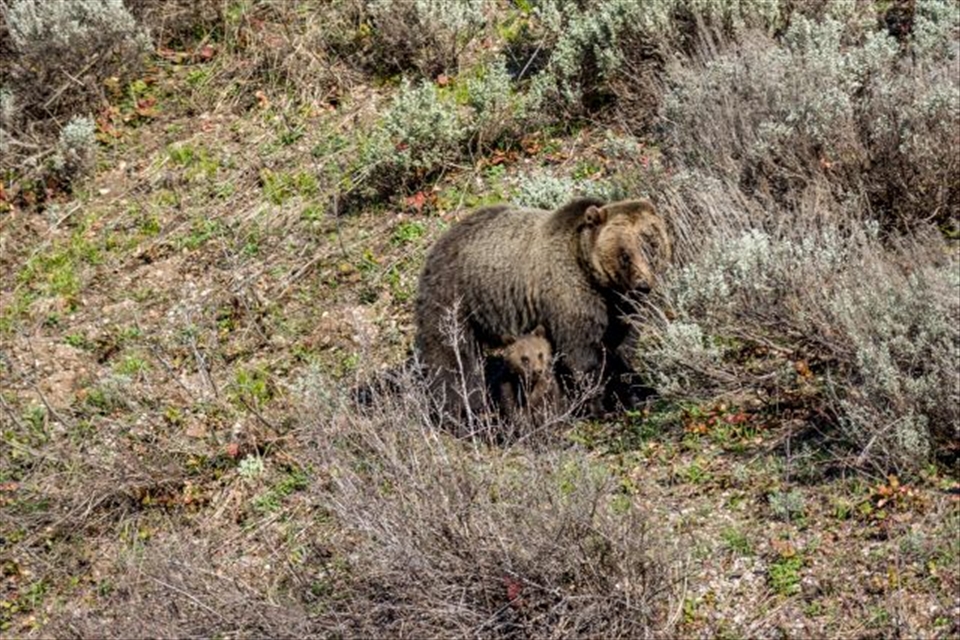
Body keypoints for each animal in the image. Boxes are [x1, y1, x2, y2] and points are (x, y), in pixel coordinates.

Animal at [414, 196, 671, 420]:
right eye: (625, 255)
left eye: (651, 245)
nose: (642, 286)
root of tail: (441, 239)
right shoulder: (570, 294)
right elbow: (582, 354)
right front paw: (601, 404)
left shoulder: (619, 306)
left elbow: (622, 345)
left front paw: (634, 393)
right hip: (455, 297)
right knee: (452, 357)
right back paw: (462, 411)